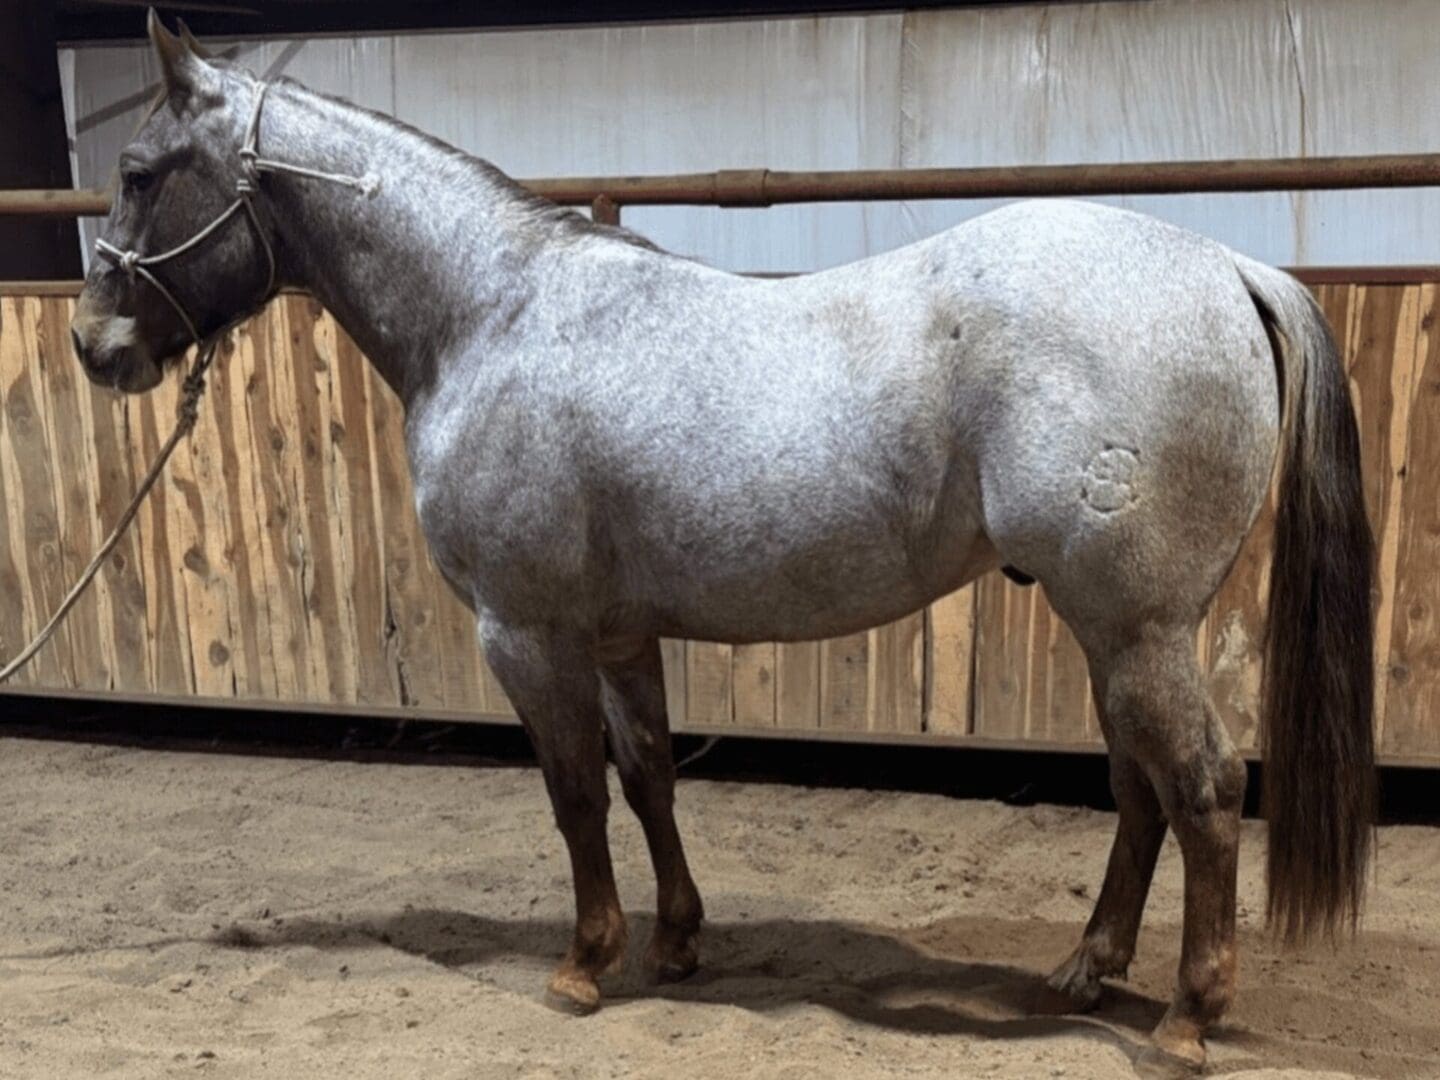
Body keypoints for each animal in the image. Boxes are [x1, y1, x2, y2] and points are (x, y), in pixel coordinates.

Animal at [70, 15, 1376, 1075]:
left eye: (137, 174)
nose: (93, 346)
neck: (494, 315)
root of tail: (1228, 267)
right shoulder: (616, 631)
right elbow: (648, 773)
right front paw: (677, 942)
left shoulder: (525, 633)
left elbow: (574, 793)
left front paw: (583, 963)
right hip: (1113, 632)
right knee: (1141, 789)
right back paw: (1085, 972)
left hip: (1138, 626)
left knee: (1202, 788)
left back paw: (1189, 1019)